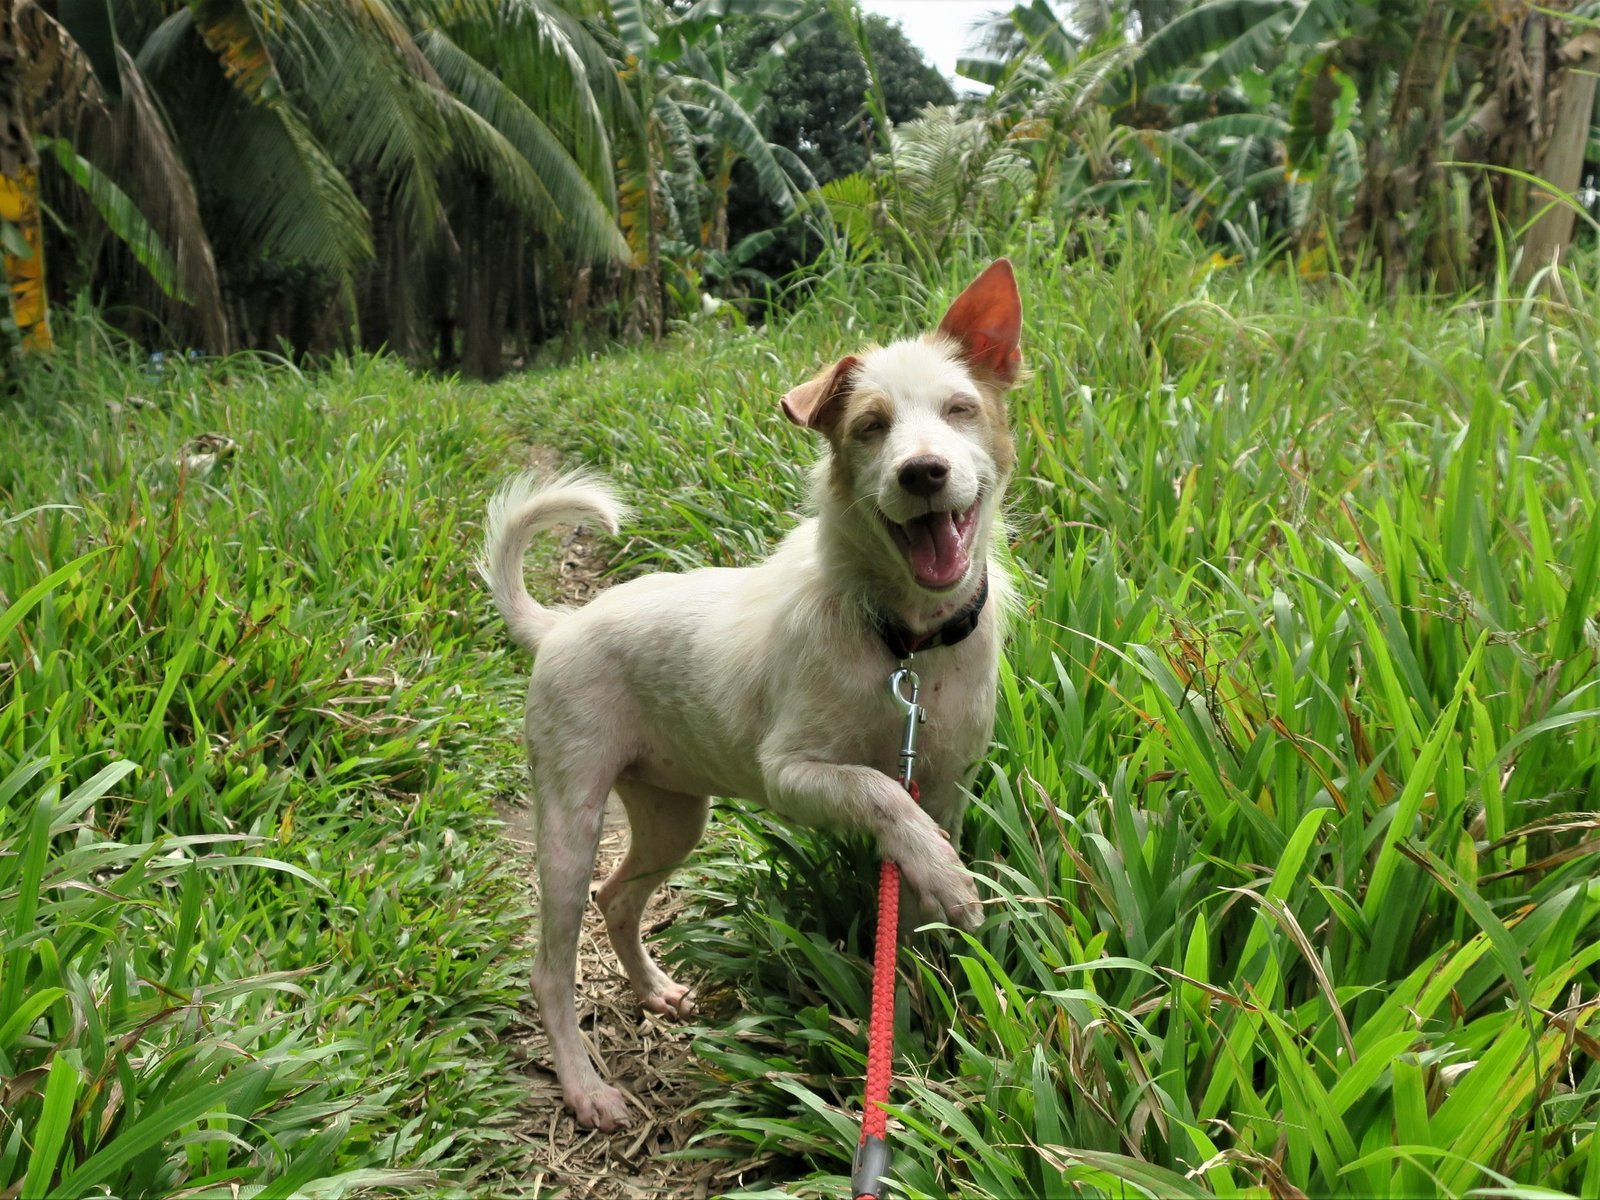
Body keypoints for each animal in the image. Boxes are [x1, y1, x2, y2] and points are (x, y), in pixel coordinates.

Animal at [482, 259, 1022, 1130]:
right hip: (568, 813)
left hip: (673, 814)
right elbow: (876, 790)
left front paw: (919, 988)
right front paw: (948, 883)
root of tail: (560, 626)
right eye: (870, 427)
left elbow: (912, 871)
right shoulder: (793, 773)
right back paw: (585, 1086)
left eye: (960, 409)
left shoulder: (944, 786)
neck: (904, 643)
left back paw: (655, 990)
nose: (923, 473)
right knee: (552, 964)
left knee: (619, 898)